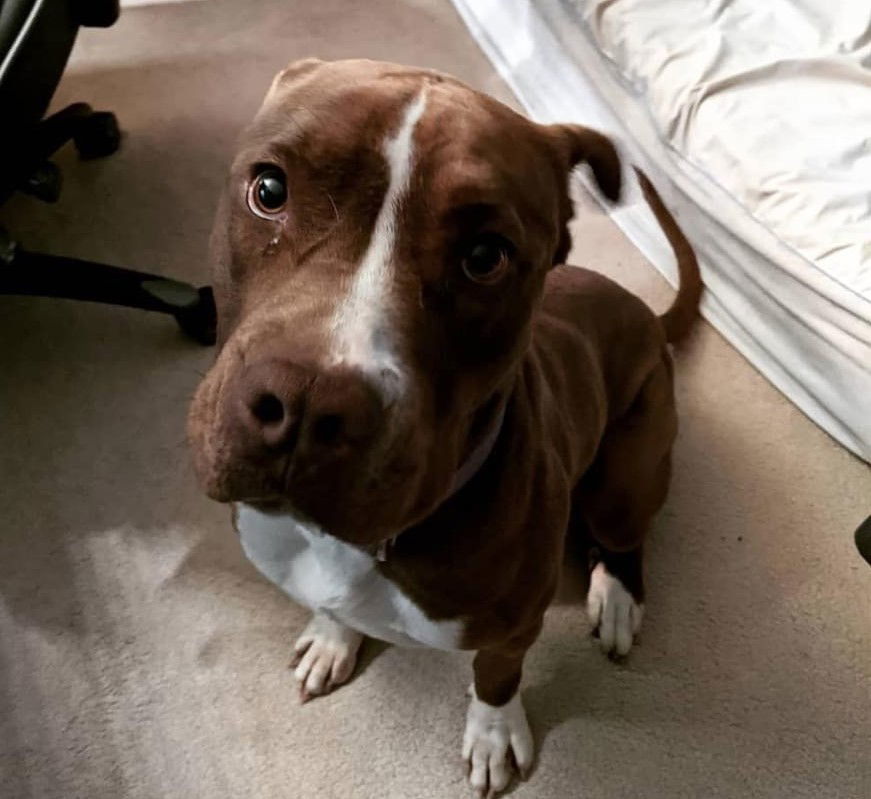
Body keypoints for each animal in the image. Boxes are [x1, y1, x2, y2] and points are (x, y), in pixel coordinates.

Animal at [189, 59, 700, 796]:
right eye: (269, 189)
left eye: (485, 255)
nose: (308, 405)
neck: (353, 545)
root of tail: (647, 314)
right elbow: (335, 610)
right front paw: (333, 637)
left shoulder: (513, 626)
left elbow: (495, 676)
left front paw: (492, 735)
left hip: (630, 467)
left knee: (623, 536)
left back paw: (615, 599)